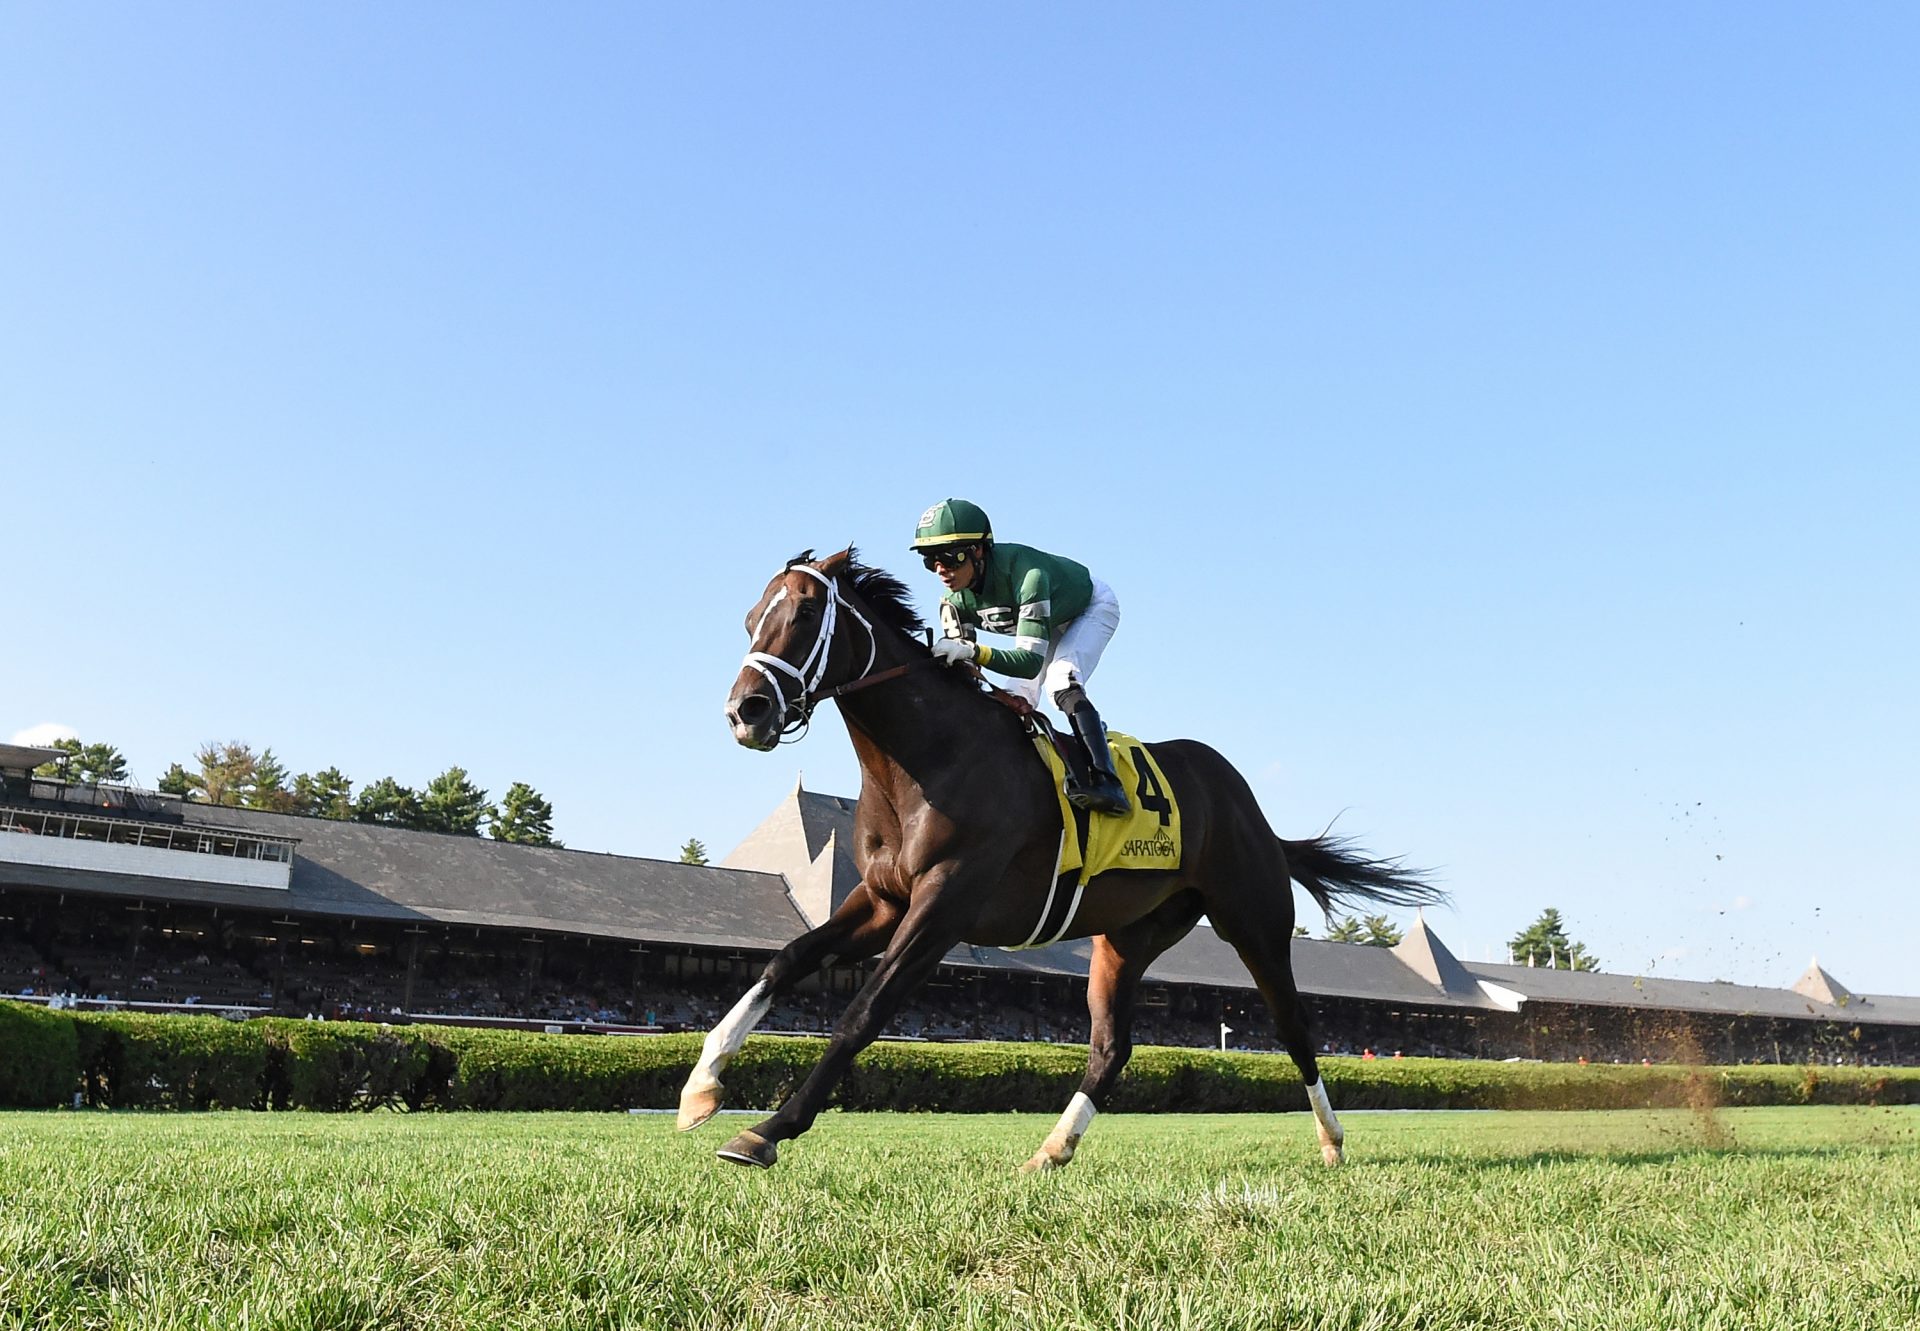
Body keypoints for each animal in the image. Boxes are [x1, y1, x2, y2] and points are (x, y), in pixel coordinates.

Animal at [691, 545, 1443, 1167]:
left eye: (805, 611)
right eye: (752, 618)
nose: (745, 711)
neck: (928, 760)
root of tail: (1243, 799)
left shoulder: (944, 903)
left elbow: (864, 1011)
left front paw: (766, 1129)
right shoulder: (881, 899)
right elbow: (787, 959)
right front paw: (702, 1085)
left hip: (1252, 921)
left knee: (1293, 1026)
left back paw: (1333, 1139)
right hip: (1129, 936)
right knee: (1111, 1046)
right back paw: (1052, 1149)